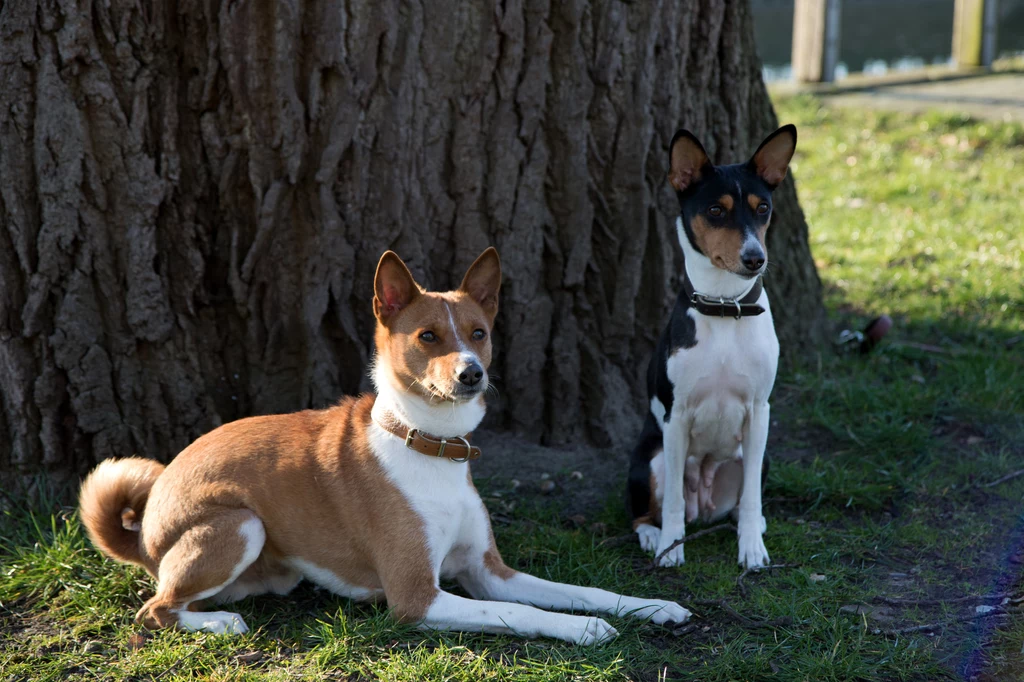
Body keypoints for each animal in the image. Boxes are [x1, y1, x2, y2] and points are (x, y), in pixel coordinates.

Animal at [77, 246, 688, 638]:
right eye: (428, 336)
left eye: (479, 334)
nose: (472, 374)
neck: (432, 447)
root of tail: (144, 531)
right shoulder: (418, 598)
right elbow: (527, 615)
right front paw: (585, 629)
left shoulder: (489, 572)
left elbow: (581, 590)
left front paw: (652, 606)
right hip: (240, 524)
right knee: (154, 609)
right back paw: (221, 624)